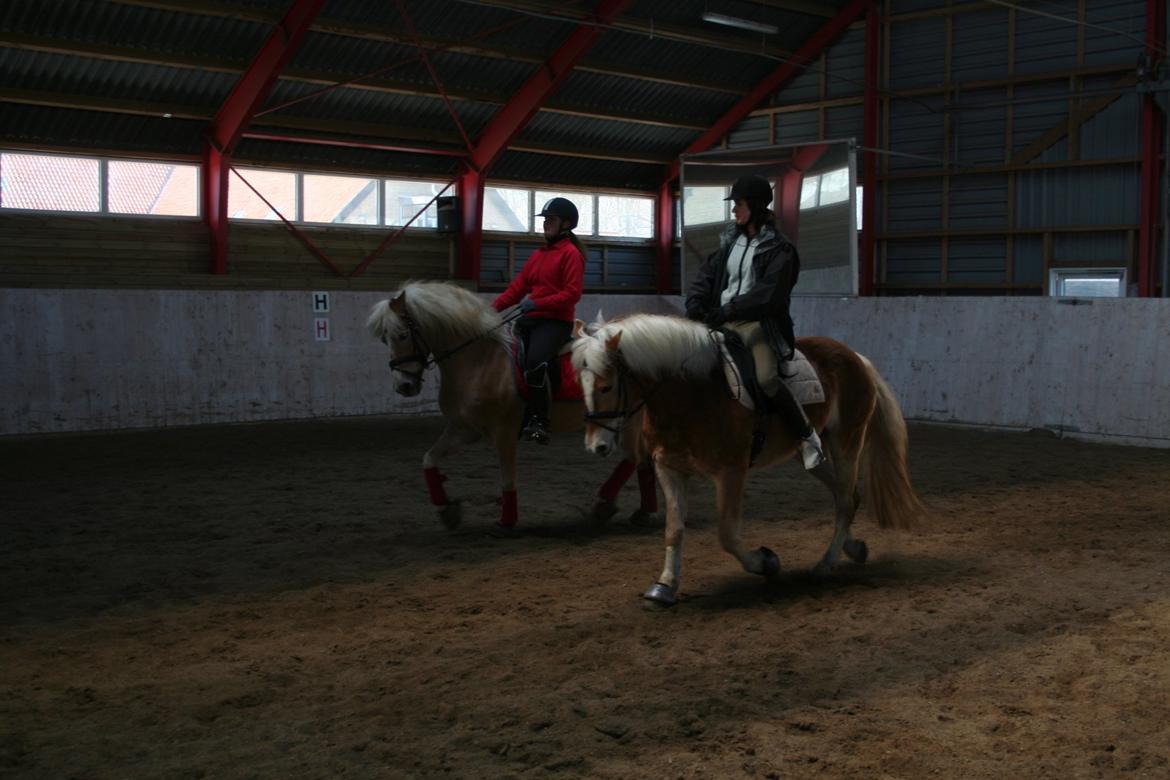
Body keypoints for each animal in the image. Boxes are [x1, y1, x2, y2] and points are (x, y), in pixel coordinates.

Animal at [365, 280, 659, 530]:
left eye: (403, 334)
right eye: (384, 338)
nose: (404, 386)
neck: (480, 361)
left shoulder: (504, 431)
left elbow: (507, 477)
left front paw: (507, 520)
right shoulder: (464, 429)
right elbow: (429, 459)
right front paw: (447, 510)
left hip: (626, 416)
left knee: (635, 456)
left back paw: (607, 505)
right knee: (642, 459)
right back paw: (640, 511)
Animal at [570, 313, 926, 608]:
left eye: (607, 386)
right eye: (580, 384)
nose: (596, 446)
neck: (690, 394)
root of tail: (856, 357)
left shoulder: (731, 472)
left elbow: (727, 533)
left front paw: (766, 562)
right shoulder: (668, 468)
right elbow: (674, 529)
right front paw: (664, 587)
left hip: (846, 442)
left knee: (845, 500)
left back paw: (825, 564)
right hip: (811, 455)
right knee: (846, 494)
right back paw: (853, 549)